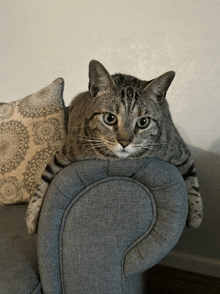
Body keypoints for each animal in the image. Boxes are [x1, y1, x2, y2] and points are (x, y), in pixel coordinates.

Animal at [25, 59, 203, 234]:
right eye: (110, 118)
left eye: (143, 122)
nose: (124, 142)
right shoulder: (64, 152)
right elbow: (43, 181)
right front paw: (31, 218)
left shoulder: (179, 150)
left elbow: (193, 182)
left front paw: (195, 217)